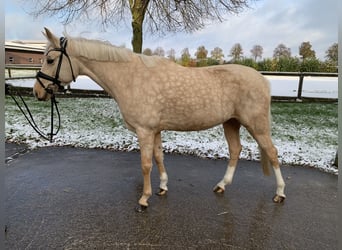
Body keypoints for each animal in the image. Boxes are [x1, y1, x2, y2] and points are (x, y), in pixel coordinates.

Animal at [33, 27, 284, 211]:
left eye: (51, 60)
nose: (37, 92)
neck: (131, 78)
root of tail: (263, 79)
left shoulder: (144, 130)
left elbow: (145, 164)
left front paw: (144, 199)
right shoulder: (155, 130)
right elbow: (159, 157)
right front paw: (162, 187)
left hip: (257, 125)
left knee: (271, 152)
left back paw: (279, 193)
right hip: (231, 122)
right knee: (235, 150)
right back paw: (222, 185)